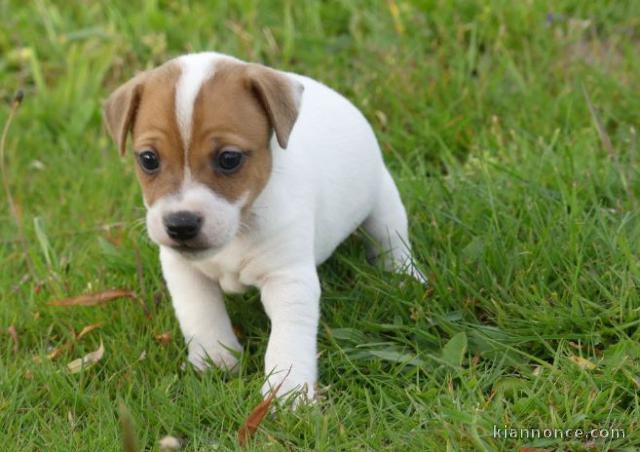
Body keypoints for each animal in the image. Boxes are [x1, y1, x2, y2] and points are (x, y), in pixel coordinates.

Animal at [104, 51, 424, 400]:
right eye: (148, 159)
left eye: (229, 159)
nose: (181, 224)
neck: (239, 227)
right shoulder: (184, 271)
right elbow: (201, 314)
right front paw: (215, 359)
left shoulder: (288, 279)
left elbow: (289, 336)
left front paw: (288, 390)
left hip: (383, 201)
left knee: (392, 241)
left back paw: (405, 278)